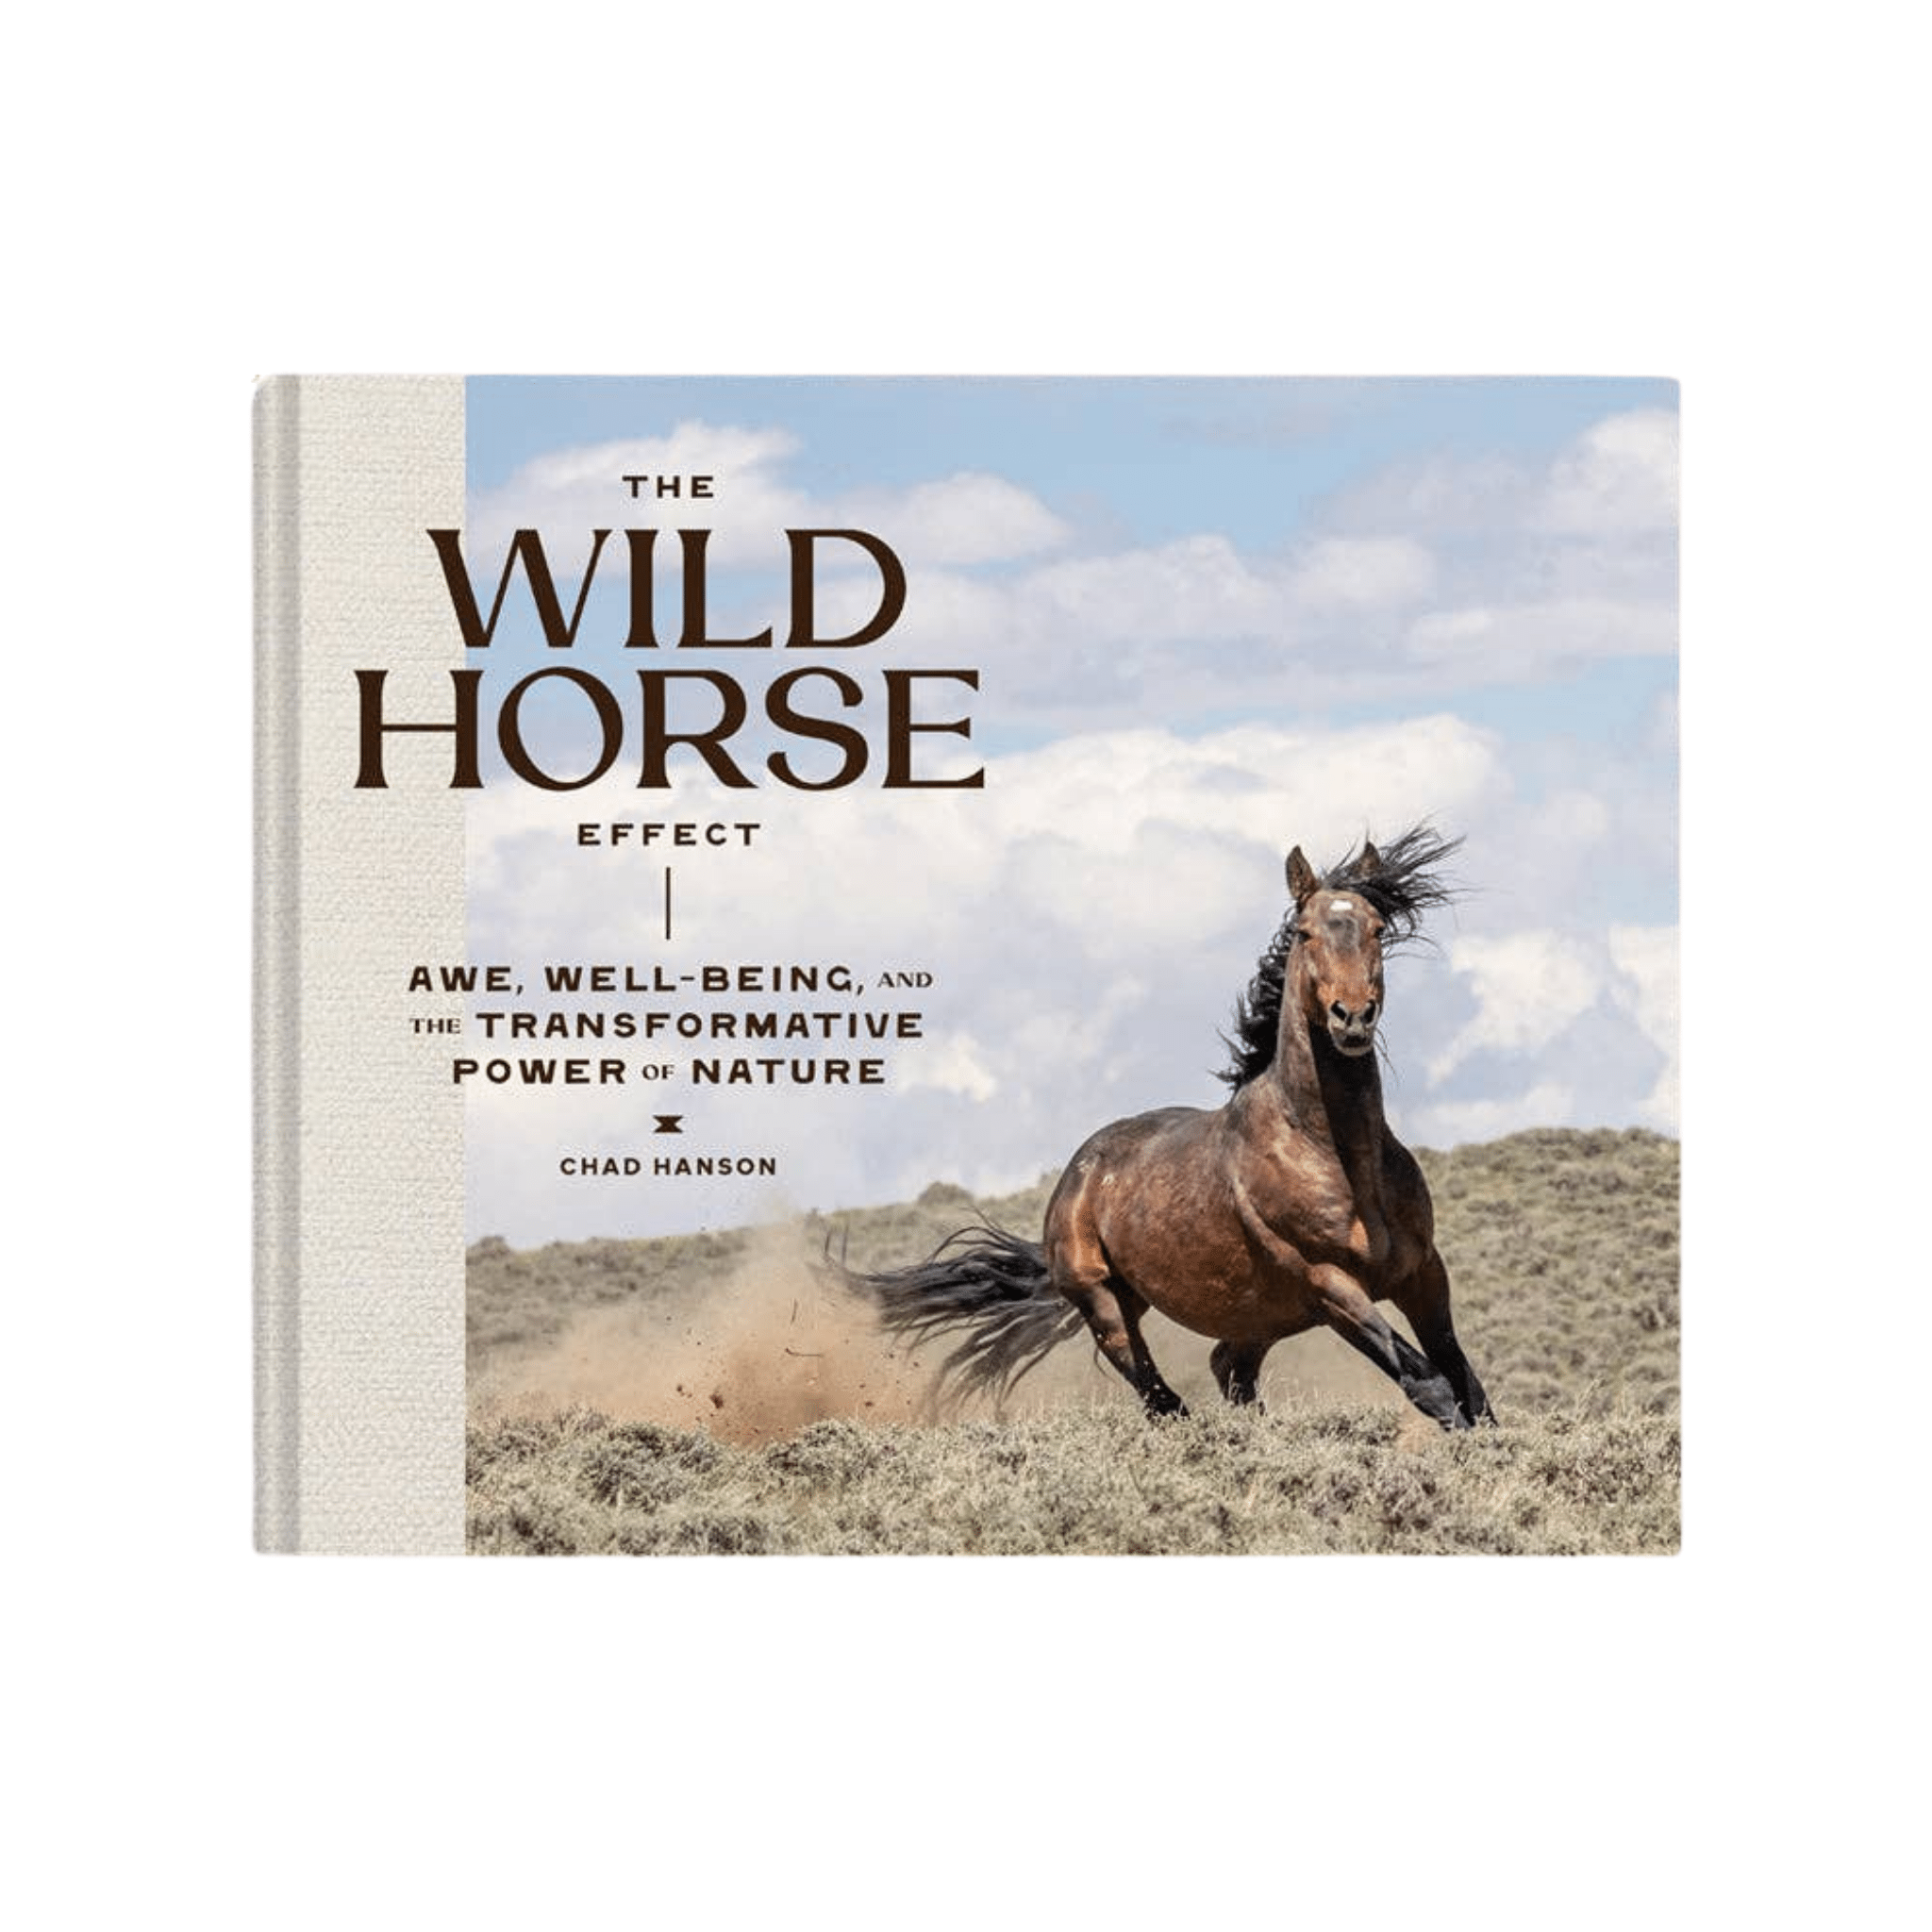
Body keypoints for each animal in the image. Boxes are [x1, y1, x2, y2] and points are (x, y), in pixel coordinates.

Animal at [829, 826, 1494, 1431]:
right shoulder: (1330, 1285)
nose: (1352, 1017)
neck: (1334, 1155)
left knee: (1228, 1370)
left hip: (1262, 1315)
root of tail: (1076, 1175)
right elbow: (1431, 1385)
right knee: (1160, 1396)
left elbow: (1470, 1389)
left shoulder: (1423, 1273)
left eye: (1378, 928)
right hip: (1107, 1304)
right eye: (1305, 933)